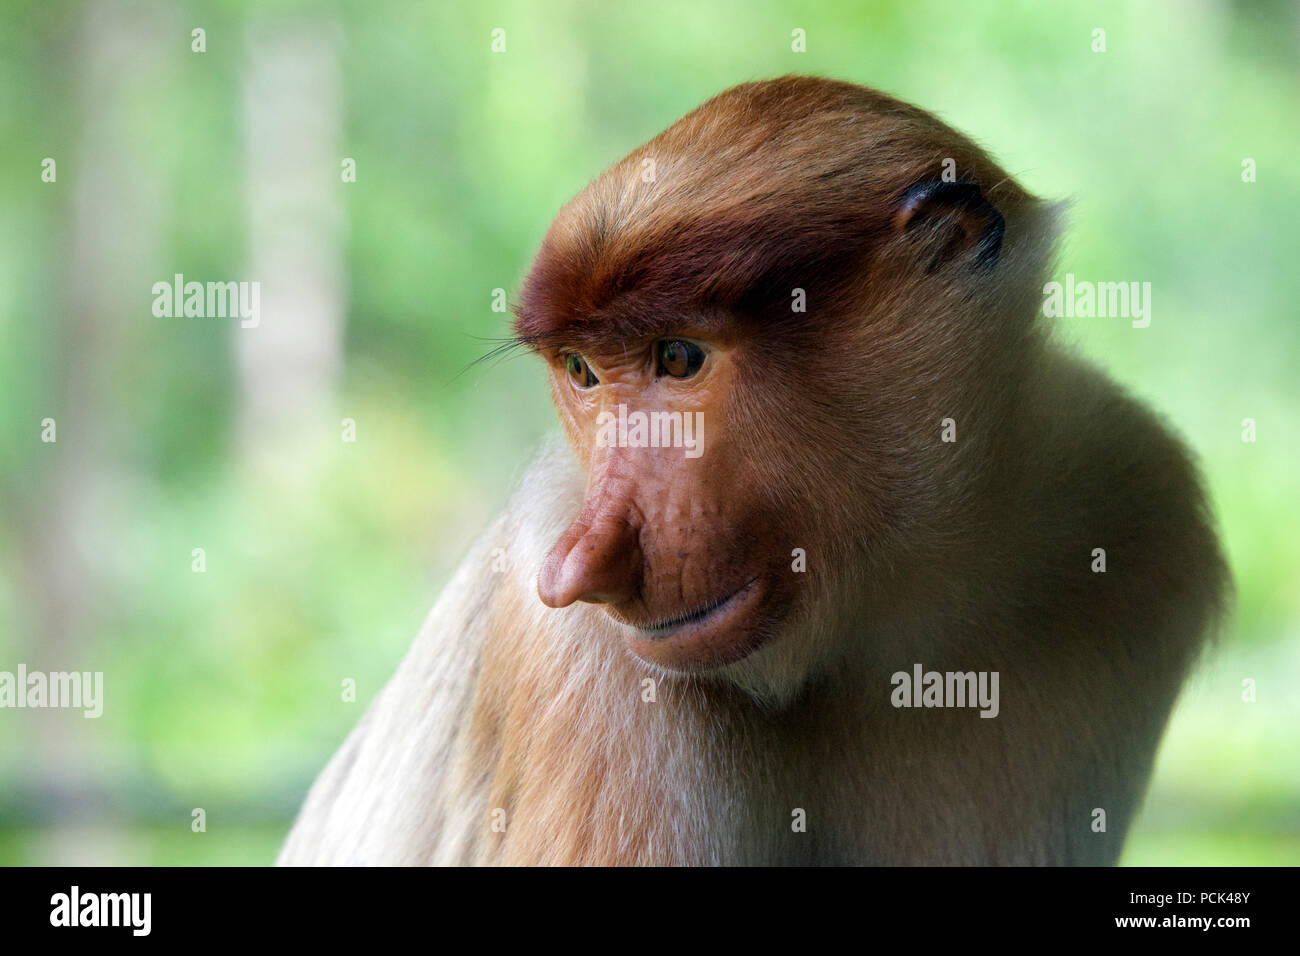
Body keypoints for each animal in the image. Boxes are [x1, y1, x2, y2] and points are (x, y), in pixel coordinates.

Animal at [278, 76, 1229, 866]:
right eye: (583, 372)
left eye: (679, 357)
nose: (580, 568)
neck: (900, 602)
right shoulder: (594, 666)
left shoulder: (1138, 500)